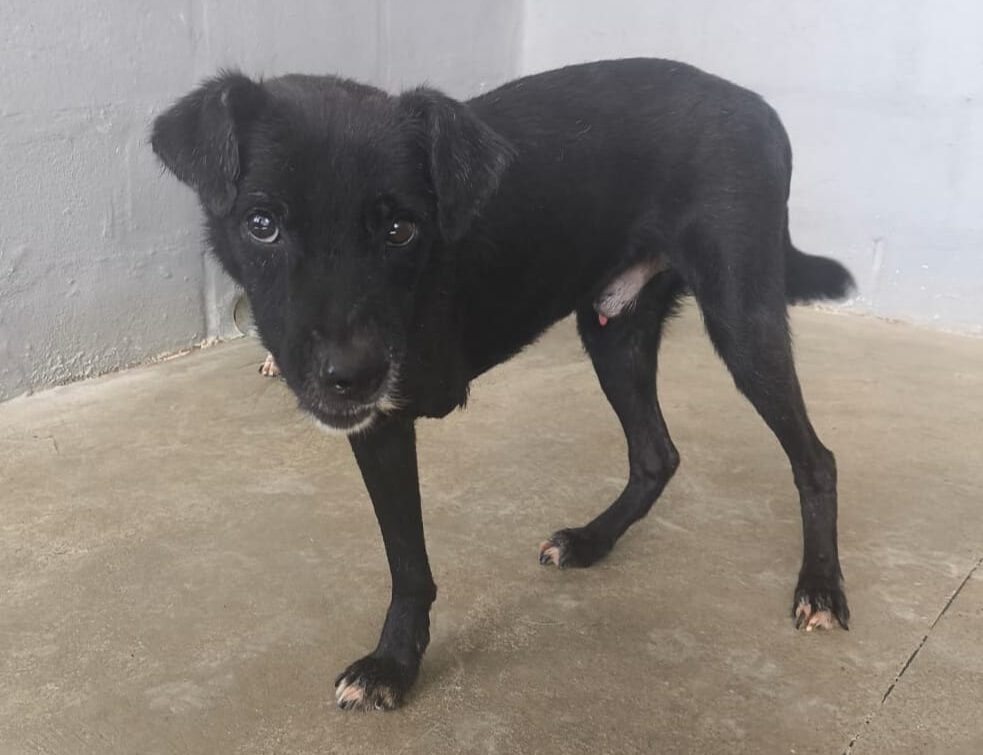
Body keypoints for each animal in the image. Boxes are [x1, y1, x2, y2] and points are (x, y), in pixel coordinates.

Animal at [152, 58, 854, 711]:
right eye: (261, 223)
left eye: (399, 229)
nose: (351, 377)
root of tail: (759, 108)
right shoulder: (380, 426)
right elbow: (406, 557)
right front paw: (398, 658)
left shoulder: (385, 413)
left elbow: (408, 561)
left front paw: (391, 667)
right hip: (613, 331)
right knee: (657, 454)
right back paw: (592, 542)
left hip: (741, 319)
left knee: (815, 459)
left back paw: (821, 586)